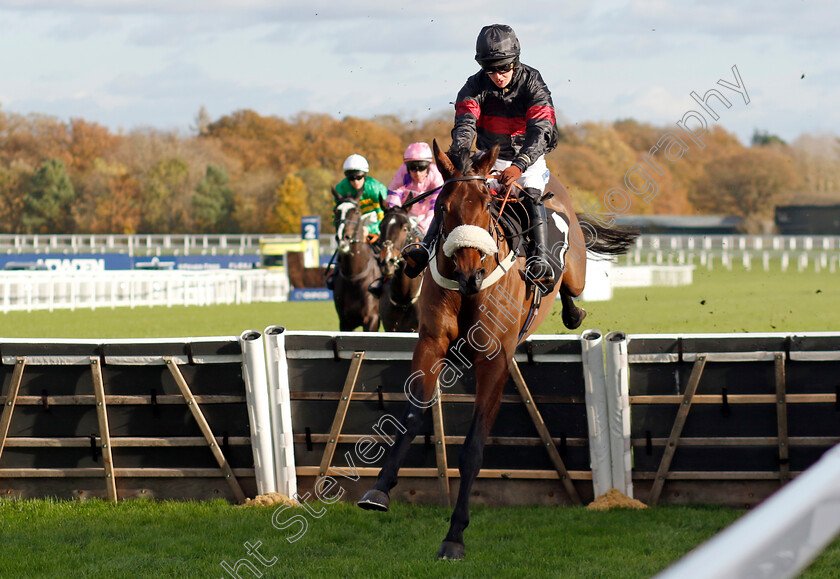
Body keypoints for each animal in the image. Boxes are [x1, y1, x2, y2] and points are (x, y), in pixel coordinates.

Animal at [332, 191, 380, 330]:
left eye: (357, 211)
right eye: (336, 211)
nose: (343, 238)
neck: (354, 277)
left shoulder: (372, 318)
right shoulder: (345, 322)